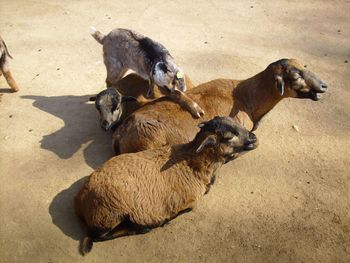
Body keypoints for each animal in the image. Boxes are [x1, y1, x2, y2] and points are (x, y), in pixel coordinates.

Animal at [75, 116, 258, 255]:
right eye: (228, 136)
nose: (253, 138)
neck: (191, 162)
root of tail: (79, 201)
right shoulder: (190, 202)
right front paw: (166, 218)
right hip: (110, 214)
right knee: (100, 236)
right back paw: (144, 228)